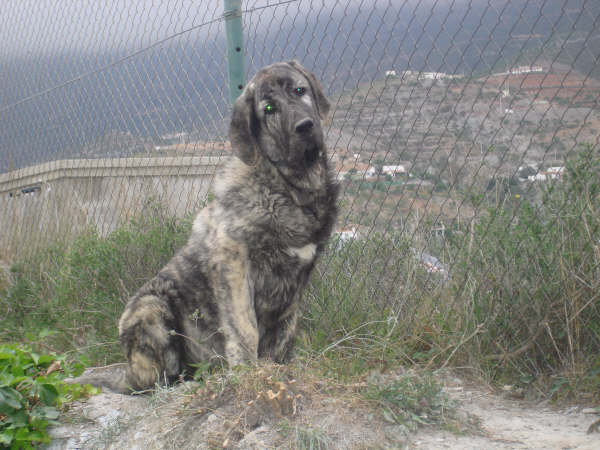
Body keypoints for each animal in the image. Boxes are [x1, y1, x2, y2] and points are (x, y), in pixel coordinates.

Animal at [81, 61, 338, 392]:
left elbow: (284, 334)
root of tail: (126, 371)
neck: (290, 189)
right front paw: (249, 373)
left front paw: (279, 369)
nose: (304, 127)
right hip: (150, 306)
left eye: (299, 90)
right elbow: (244, 328)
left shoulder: (297, 280)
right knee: (154, 378)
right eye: (268, 108)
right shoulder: (234, 264)